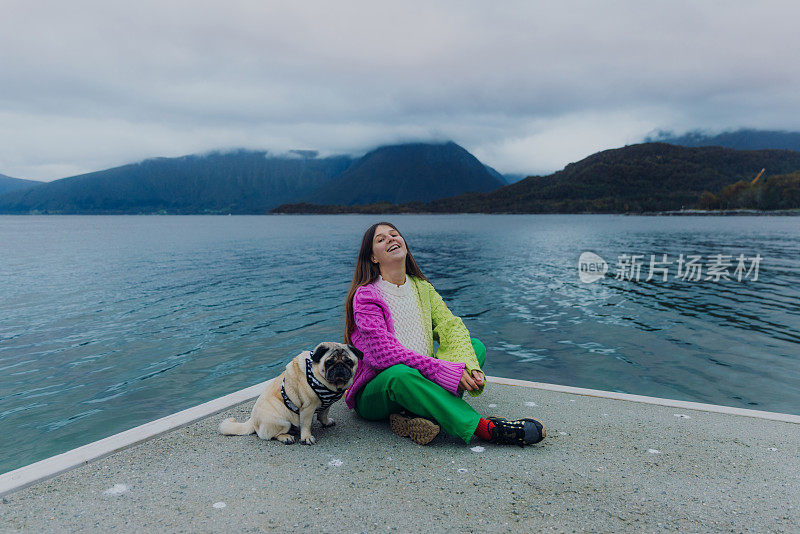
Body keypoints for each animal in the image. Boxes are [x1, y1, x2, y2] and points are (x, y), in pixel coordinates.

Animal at [216, 346, 360, 446]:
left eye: (349, 362)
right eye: (329, 362)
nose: (340, 366)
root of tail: (253, 420)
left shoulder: (326, 404)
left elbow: (323, 414)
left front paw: (326, 422)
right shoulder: (307, 408)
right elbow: (306, 425)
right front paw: (306, 438)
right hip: (283, 421)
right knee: (273, 435)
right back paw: (286, 437)